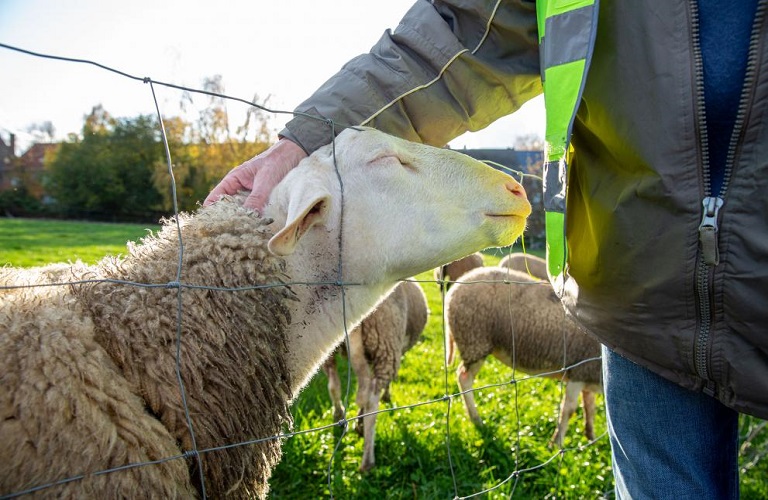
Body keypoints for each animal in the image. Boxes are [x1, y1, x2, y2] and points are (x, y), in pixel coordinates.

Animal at [320, 282, 428, 472]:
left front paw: (358, 421)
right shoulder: (397, 351)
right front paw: (386, 397)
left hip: (330, 351)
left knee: (334, 385)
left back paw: (339, 416)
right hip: (386, 343)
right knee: (371, 401)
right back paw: (367, 461)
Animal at [440, 268, 604, 448]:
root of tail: (456, 286)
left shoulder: (588, 374)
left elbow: (590, 408)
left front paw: (591, 437)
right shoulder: (577, 371)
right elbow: (568, 410)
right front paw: (556, 443)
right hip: (474, 340)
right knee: (464, 378)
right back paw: (476, 419)